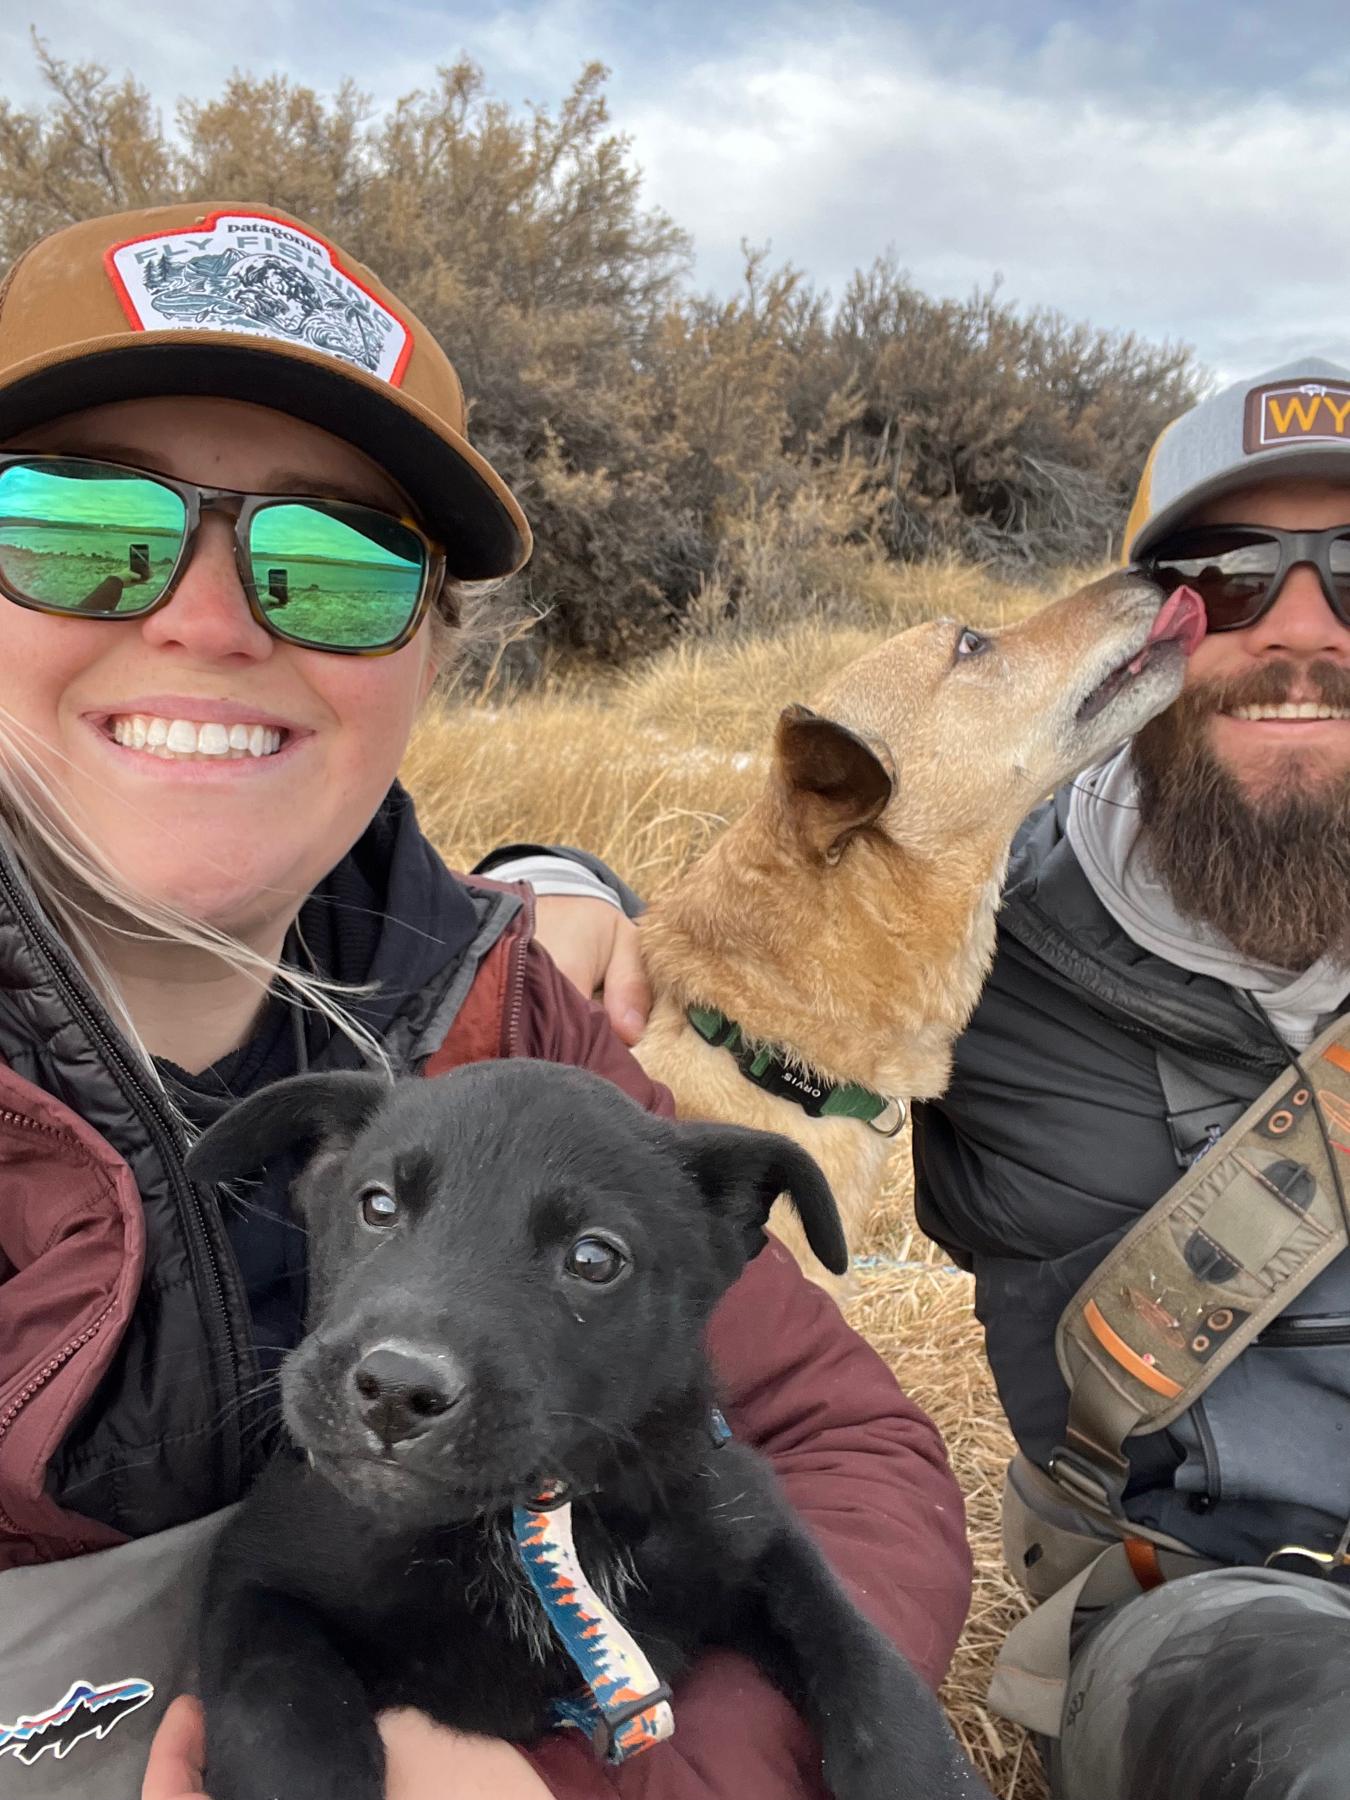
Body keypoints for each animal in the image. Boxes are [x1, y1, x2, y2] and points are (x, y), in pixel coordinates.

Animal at [186, 1060, 992, 1800]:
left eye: (594, 1258)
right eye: (377, 1206)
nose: (395, 1390)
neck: (523, 1528)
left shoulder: (753, 1530)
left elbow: (868, 1670)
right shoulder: (260, 1569)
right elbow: (285, 1715)